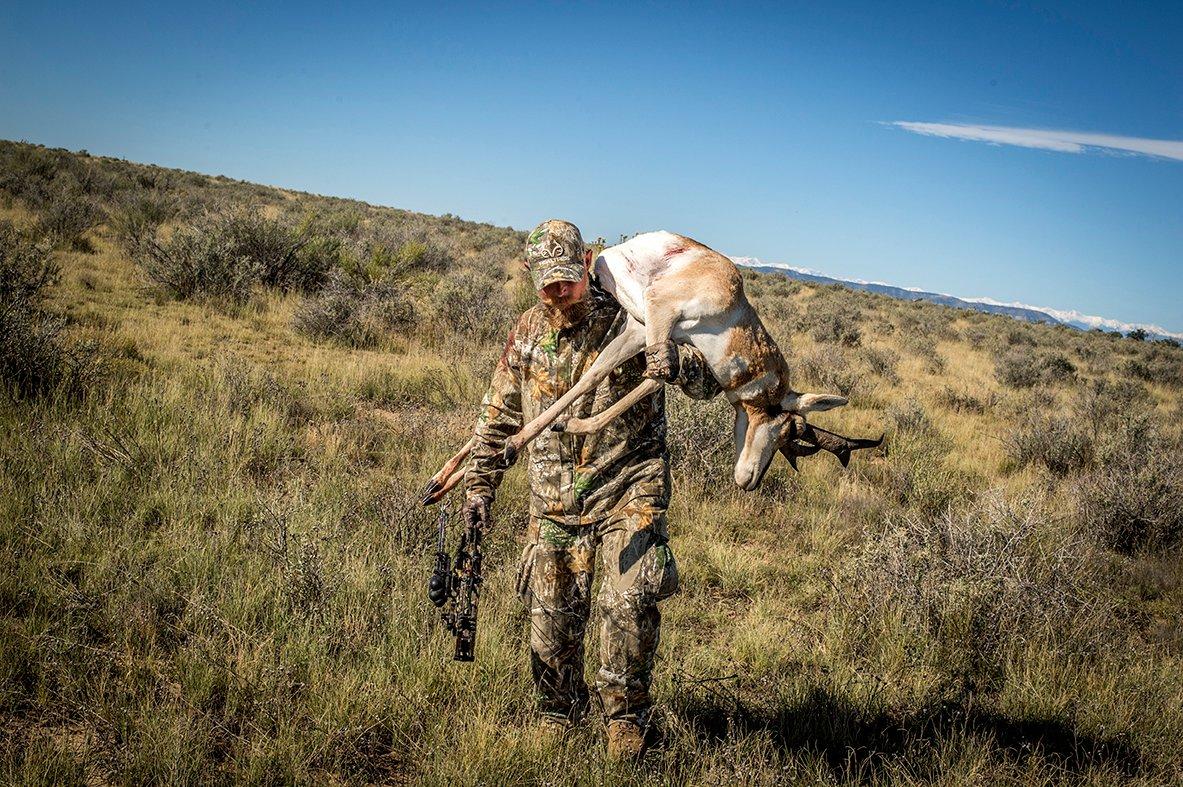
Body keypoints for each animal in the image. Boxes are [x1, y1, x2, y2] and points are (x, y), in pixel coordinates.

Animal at [423, 230, 880, 506]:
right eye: (785, 425)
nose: (750, 481)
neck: (733, 306)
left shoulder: (643, 331)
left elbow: (599, 377)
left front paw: (535, 436)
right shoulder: (660, 313)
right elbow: (652, 381)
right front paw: (562, 429)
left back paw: (443, 480)